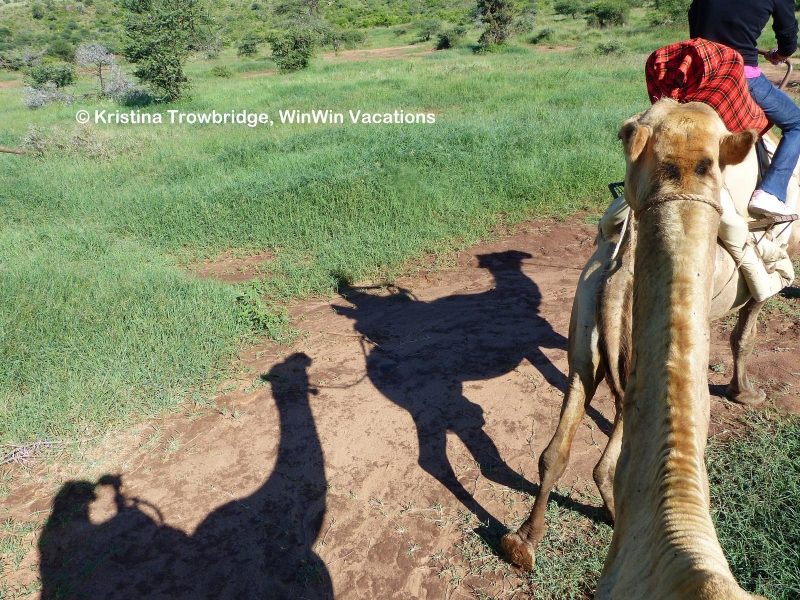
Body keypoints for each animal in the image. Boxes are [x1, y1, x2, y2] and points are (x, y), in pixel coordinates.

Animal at [503, 99, 798, 597]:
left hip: (587, 338)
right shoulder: (767, 277)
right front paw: (745, 393)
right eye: (629, 130)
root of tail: (616, 272)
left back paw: (523, 542)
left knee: (559, 445)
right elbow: (745, 332)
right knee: (606, 460)